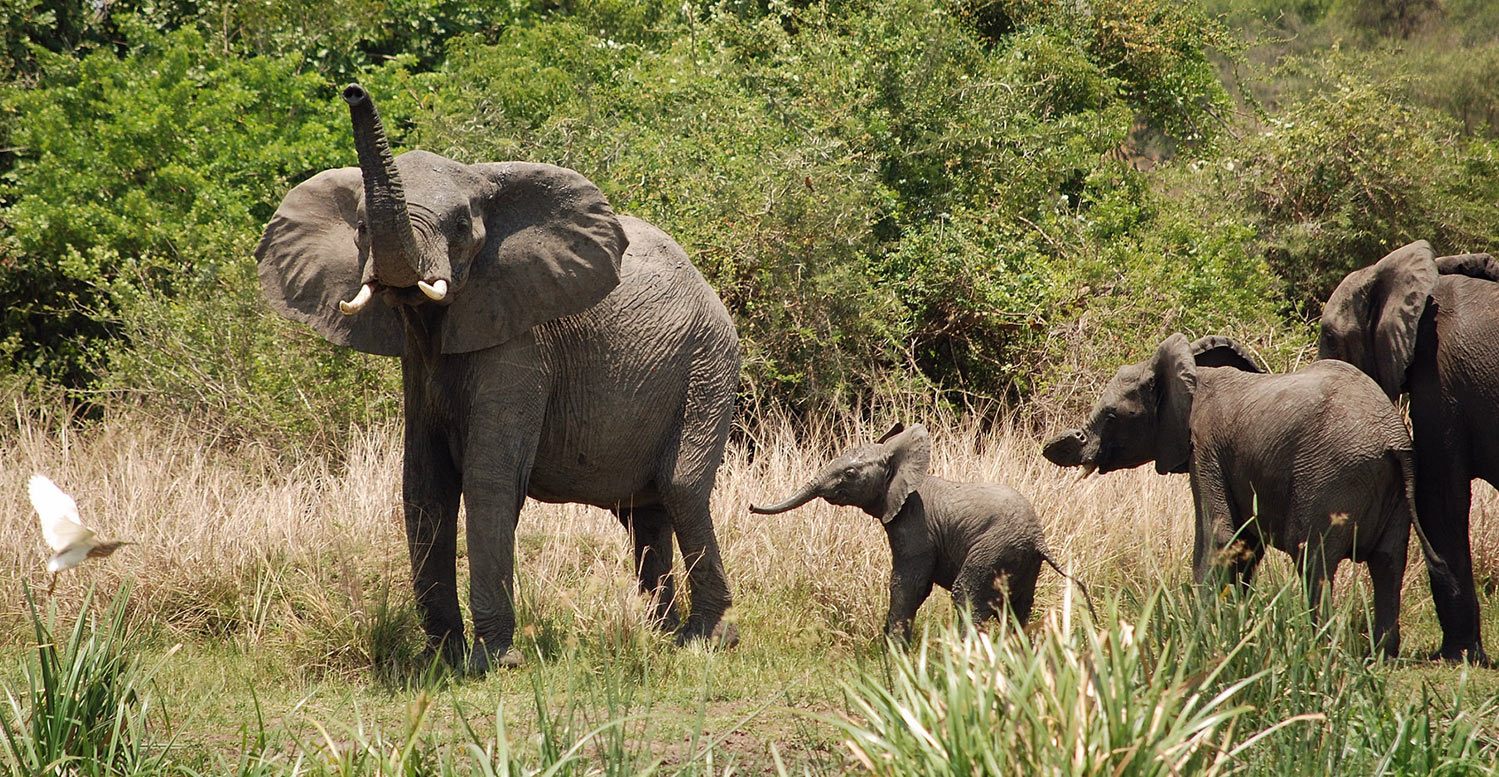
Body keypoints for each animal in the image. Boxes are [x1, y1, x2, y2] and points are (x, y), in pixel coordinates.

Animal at [260, 82, 746, 672]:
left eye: (461, 228)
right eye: (360, 229)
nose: (353, 90)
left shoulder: (523, 341)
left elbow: (489, 479)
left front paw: (492, 662)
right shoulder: (419, 356)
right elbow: (423, 483)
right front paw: (441, 659)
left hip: (708, 366)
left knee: (681, 487)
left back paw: (710, 638)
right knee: (643, 512)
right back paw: (663, 636)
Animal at [749, 426, 1091, 639]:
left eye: (850, 474)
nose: (751, 506)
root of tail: (1038, 539)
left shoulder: (916, 527)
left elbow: (909, 585)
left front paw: (893, 654)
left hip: (995, 548)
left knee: (967, 595)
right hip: (1024, 562)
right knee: (1017, 609)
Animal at [1043, 334, 1451, 657]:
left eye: (1112, 416)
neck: (1193, 376)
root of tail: (1393, 438)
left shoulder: (1205, 448)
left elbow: (1218, 537)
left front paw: (1203, 634)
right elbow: (1246, 544)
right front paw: (1231, 628)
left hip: (1333, 475)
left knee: (1313, 558)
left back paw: (1315, 646)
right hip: (1391, 489)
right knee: (1388, 562)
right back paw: (1381, 655)